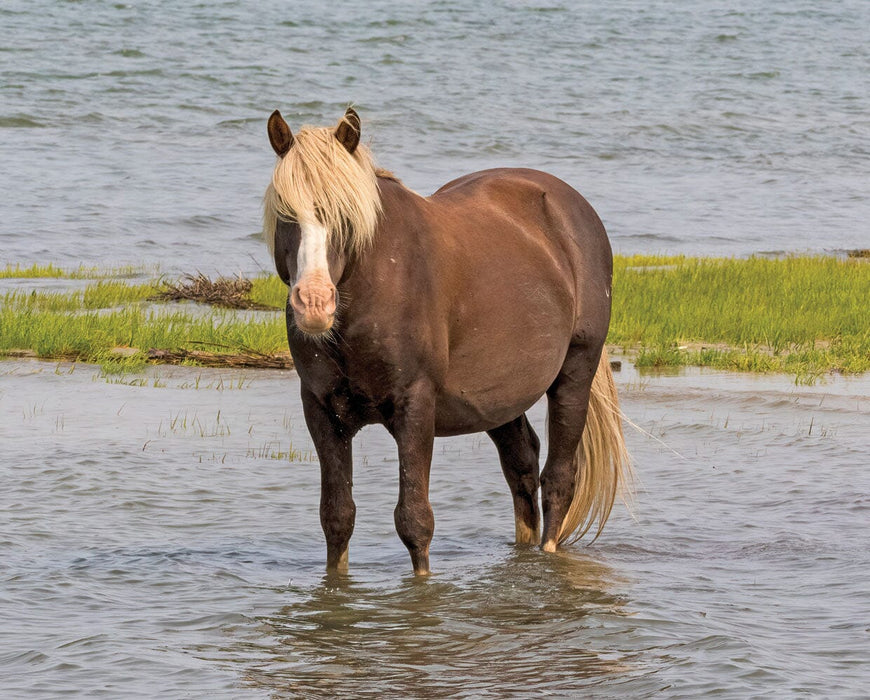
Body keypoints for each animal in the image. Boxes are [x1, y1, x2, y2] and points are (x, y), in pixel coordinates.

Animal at [263, 107, 631, 575]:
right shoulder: (323, 410)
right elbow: (337, 517)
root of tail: (573, 210)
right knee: (522, 467)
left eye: (345, 216)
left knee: (558, 479)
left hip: (576, 370)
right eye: (286, 212)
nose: (314, 303)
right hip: (499, 397)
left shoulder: (416, 405)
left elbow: (414, 520)